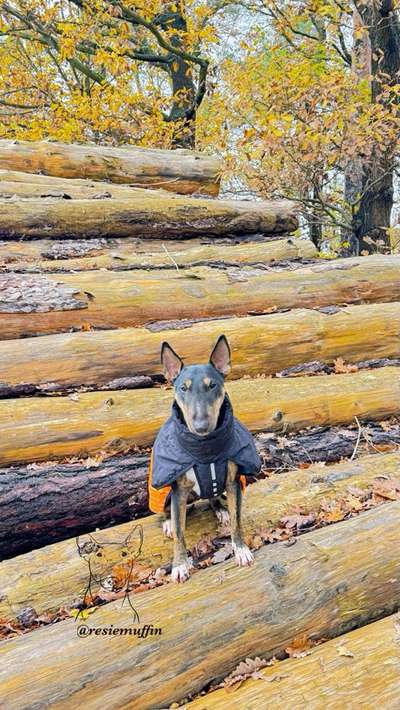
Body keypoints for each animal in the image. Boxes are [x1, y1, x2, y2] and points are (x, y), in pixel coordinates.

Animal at [148, 336, 260, 580]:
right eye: (183, 388)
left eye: (212, 385)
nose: (201, 427)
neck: (206, 449)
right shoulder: (179, 490)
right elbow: (180, 533)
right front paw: (180, 565)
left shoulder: (233, 482)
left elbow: (237, 521)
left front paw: (241, 550)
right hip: (167, 493)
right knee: (167, 511)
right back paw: (168, 522)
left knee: (213, 498)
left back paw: (220, 509)